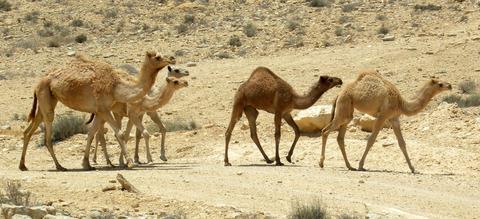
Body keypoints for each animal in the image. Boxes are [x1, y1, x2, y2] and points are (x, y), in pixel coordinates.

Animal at [20, 51, 176, 171]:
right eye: (158, 57)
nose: (172, 58)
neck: (116, 86)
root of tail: (39, 82)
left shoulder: (101, 111)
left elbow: (91, 134)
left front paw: (86, 164)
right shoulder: (104, 109)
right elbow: (119, 134)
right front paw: (130, 162)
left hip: (46, 100)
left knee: (28, 130)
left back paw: (23, 166)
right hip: (45, 97)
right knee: (47, 133)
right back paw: (59, 166)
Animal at [320, 68, 452, 173]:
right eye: (440, 84)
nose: (450, 85)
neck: (401, 104)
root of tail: (338, 94)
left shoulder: (394, 118)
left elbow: (402, 143)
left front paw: (413, 168)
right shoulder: (383, 116)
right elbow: (371, 140)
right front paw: (361, 165)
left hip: (347, 111)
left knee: (340, 137)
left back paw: (349, 166)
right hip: (345, 105)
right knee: (325, 131)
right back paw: (321, 163)